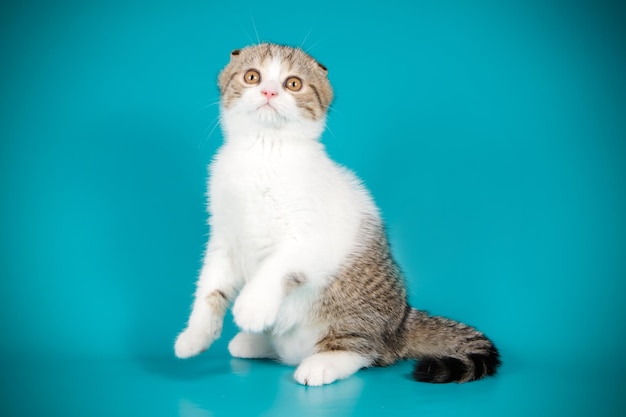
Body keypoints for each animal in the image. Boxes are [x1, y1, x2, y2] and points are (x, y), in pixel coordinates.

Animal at [174, 42, 498, 384]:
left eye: (293, 83)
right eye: (252, 76)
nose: (269, 92)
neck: (264, 151)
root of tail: (401, 323)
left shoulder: (311, 235)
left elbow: (276, 266)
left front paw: (252, 305)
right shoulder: (224, 236)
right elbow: (211, 288)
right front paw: (195, 335)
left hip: (354, 316)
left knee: (365, 350)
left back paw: (322, 362)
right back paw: (257, 342)